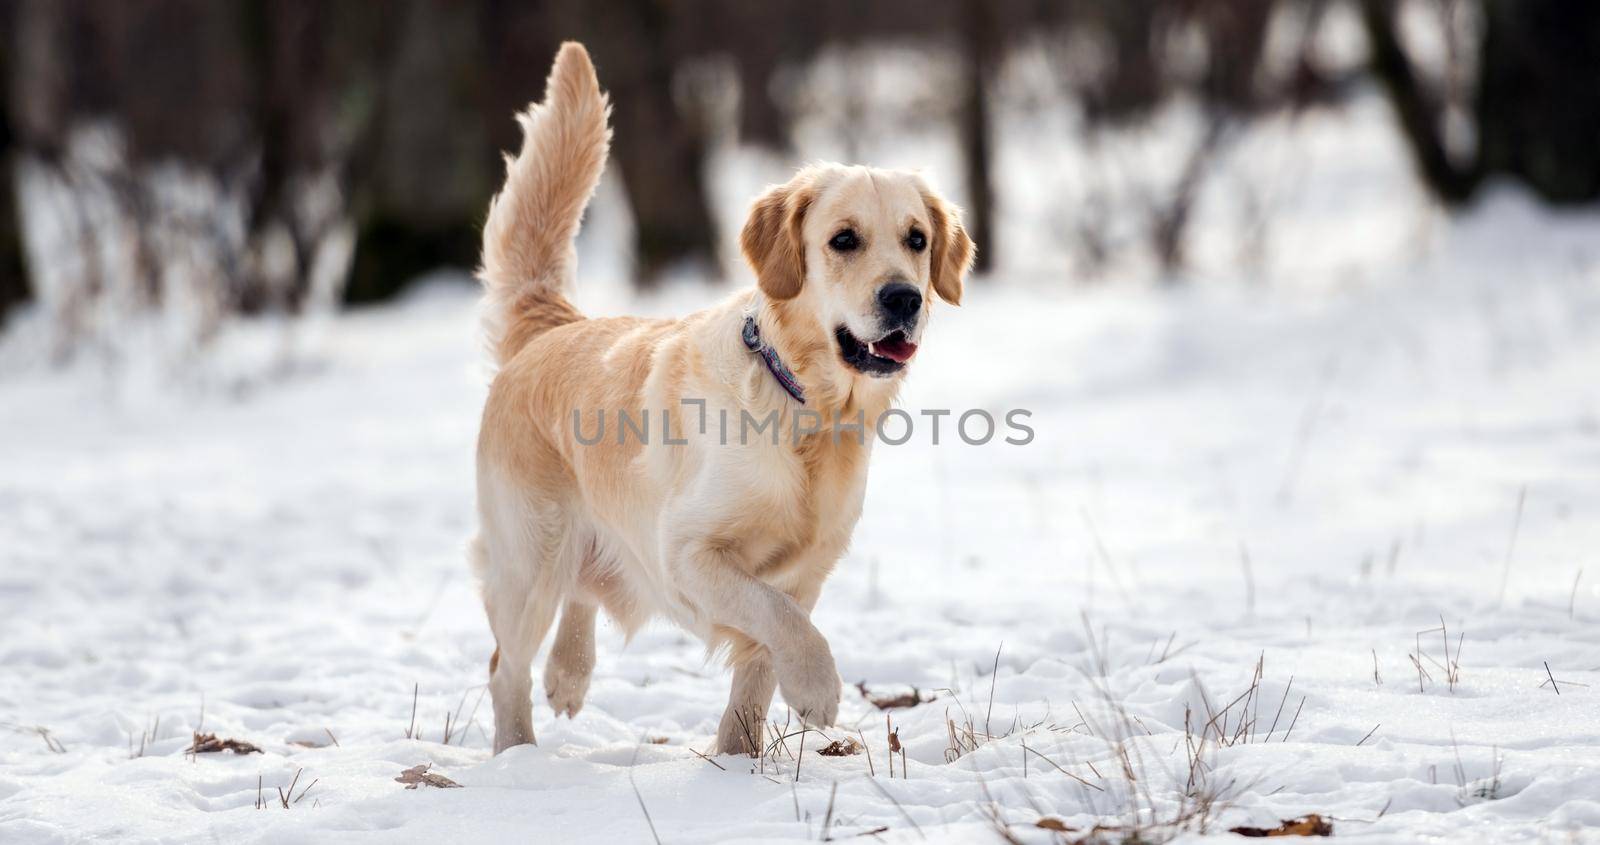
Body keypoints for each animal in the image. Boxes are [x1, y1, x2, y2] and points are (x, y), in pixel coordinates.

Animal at [470, 41, 972, 752]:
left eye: (917, 239)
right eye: (843, 239)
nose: (903, 298)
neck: (806, 409)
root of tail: (555, 326)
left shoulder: (808, 567)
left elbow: (758, 669)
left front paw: (736, 760)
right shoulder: (686, 554)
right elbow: (778, 616)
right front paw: (817, 688)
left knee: (581, 594)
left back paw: (569, 674)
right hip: (530, 555)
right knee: (504, 666)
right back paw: (519, 754)